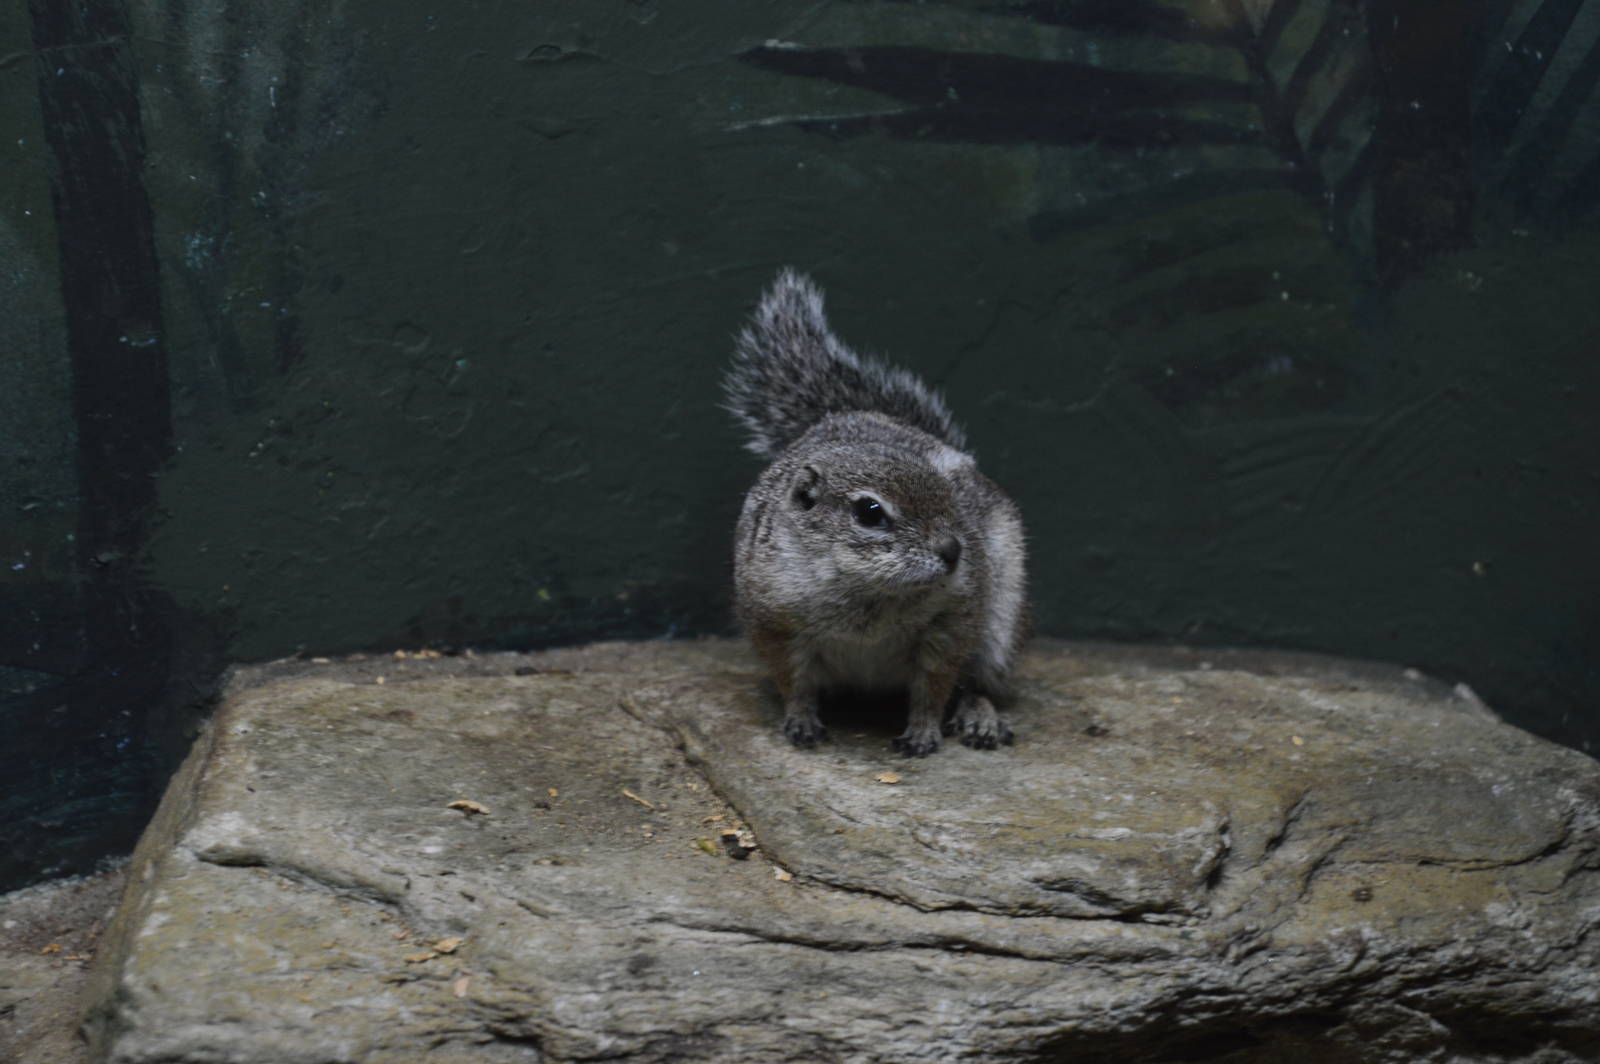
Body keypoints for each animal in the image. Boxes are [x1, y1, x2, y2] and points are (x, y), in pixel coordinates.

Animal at [724, 269, 1028, 756]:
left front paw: (922, 731)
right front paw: (800, 722)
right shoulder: (775, 620)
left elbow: (934, 687)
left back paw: (979, 716)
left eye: (954, 498)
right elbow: (795, 683)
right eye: (869, 512)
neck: (868, 591)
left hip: (999, 626)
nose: (952, 551)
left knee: (977, 682)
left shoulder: (952, 622)